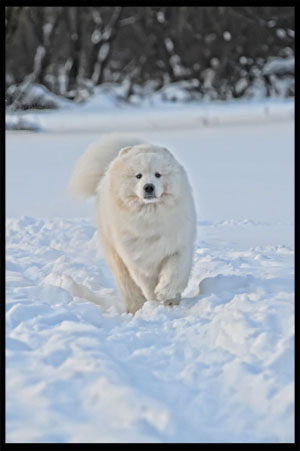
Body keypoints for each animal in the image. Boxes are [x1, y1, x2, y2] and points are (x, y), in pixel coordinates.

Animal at [68, 132, 197, 312]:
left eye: (158, 174)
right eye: (138, 176)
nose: (149, 187)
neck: (150, 216)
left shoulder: (177, 244)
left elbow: (175, 270)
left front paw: (166, 293)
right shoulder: (137, 257)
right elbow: (147, 282)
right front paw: (155, 298)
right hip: (117, 258)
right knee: (128, 286)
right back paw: (135, 308)